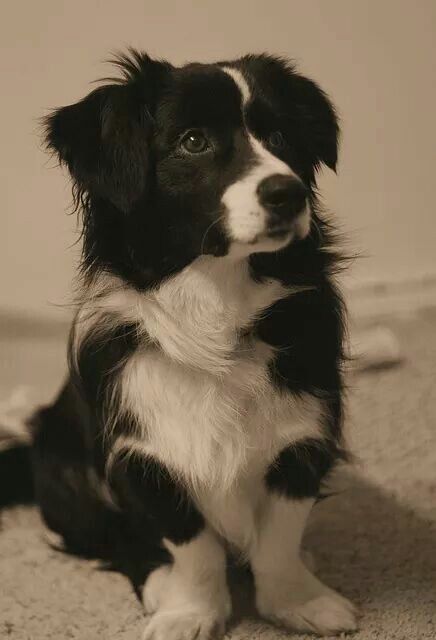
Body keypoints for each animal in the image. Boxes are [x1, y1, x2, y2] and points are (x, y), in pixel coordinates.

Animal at [1, 51, 358, 640]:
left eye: (281, 136)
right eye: (194, 141)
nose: (288, 193)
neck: (216, 305)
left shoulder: (302, 439)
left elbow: (280, 538)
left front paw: (297, 600)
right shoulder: (145, 456)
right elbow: (194, 546)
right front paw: (191, 612)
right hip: (65, 473)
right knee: (114, 539)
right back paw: (157, 584)